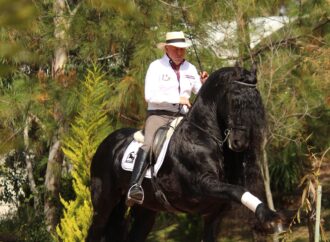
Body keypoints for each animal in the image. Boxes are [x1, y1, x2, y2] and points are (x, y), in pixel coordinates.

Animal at [87, 66, 284, 242]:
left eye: (256, 103)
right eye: (235, 101)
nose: (239, 142)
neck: (202, 136)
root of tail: (107, 143)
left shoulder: (214, 213)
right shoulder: (201, 184)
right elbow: (239, 190)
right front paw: (268, 216)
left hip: (146, 210)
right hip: (104, 204)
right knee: (95, 230)